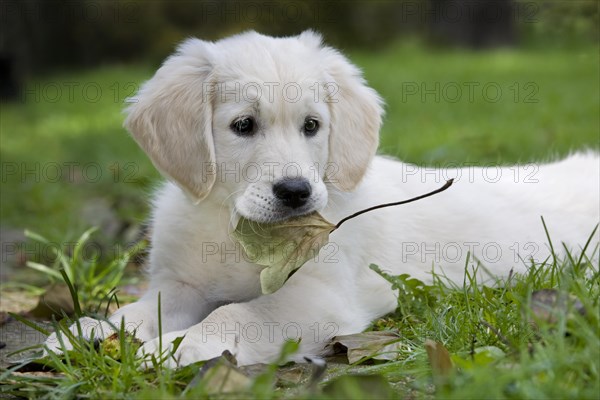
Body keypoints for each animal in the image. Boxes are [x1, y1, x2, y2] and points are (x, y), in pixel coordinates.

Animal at [45, 32, 600, 368]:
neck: (238, 229)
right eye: (243, 125)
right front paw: (93, 330)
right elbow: (142, 309)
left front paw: (179, 346)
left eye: (312, 126)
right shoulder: (181, 283)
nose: (296, 192)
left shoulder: (320, 294)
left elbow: (235, 315)